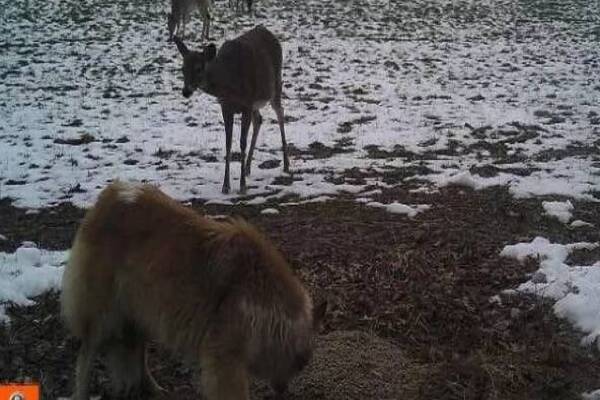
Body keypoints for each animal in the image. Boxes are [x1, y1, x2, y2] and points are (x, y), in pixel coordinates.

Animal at [172, 25, 290, 194]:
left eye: (199, 68)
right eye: (182, 68)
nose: (186, 91)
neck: (229, 83)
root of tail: (267, 31)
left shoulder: (246, 104)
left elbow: (242, 143)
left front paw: (242, 186)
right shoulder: (226, 107)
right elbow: (228, 143)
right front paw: (226, 186)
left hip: (275, 84)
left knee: (280, 113)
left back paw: (286, 165)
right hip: (255, 102)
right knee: (259, 120)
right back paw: (247, 168)